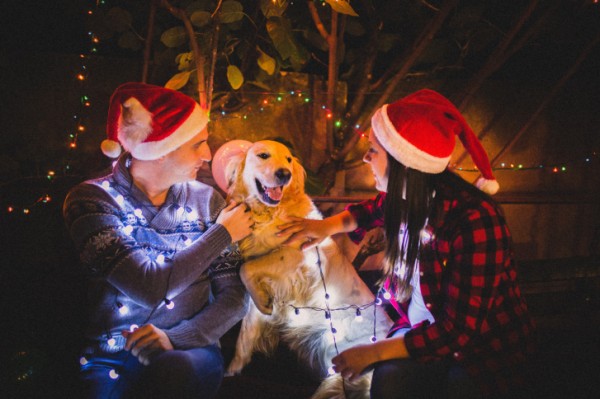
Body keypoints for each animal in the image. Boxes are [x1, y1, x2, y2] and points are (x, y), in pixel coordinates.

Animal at [220, 141, 394, 399]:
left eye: (289, 159)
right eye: (263, 155)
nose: (284, 174)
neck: (270, 213)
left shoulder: (297, 256)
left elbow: (247, 268)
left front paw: (264, 301)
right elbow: (245, 336)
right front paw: (231, 371)